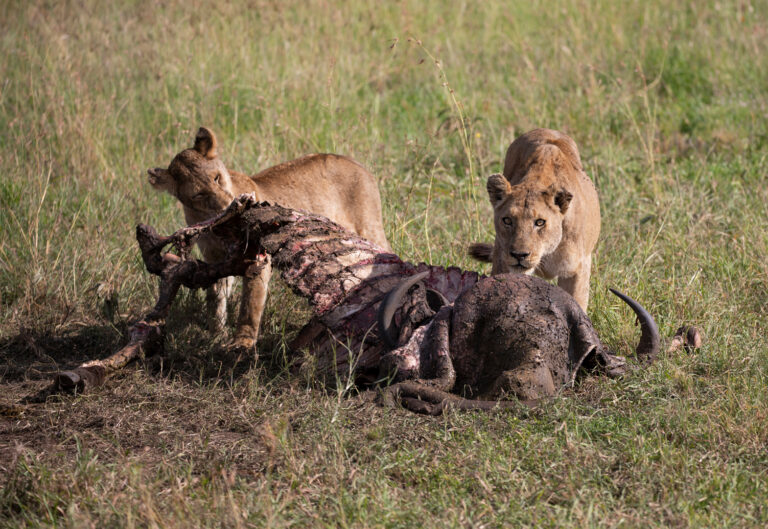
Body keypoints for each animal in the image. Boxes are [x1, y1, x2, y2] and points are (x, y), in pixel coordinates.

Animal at [147, 127, 391, 352]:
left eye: (216, 177)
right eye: (198, 194)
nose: (229, 203)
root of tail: (353, 161)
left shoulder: (258, 257)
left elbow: (250, 304)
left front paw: (242, 342)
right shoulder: (215, 259)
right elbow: (216, 296)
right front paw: (215, 333)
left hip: (369, 227)